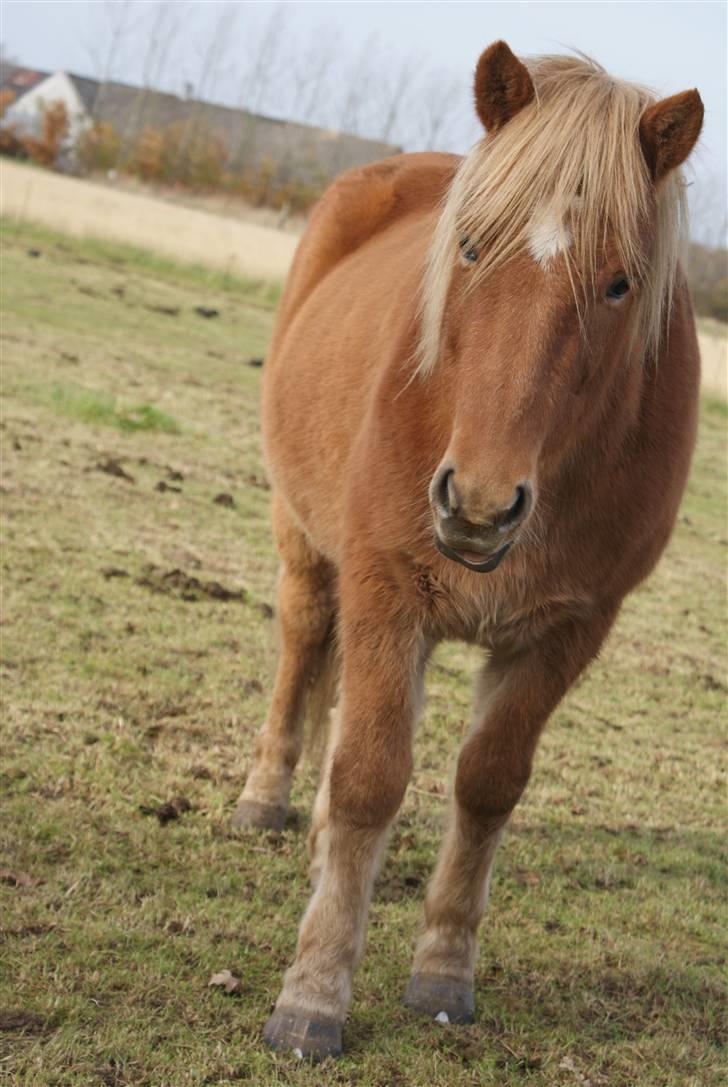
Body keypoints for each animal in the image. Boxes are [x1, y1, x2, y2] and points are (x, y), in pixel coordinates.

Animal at [231, 44, 704, 1060]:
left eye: (620, 283)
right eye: (473, 248)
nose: (479, 505)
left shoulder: (568, 630)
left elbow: (487, 785)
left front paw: (443, 972)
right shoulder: (384, 586)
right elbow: (370, 778)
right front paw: (313, 996)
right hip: (307, 540)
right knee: (304, 645)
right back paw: (266, 798)